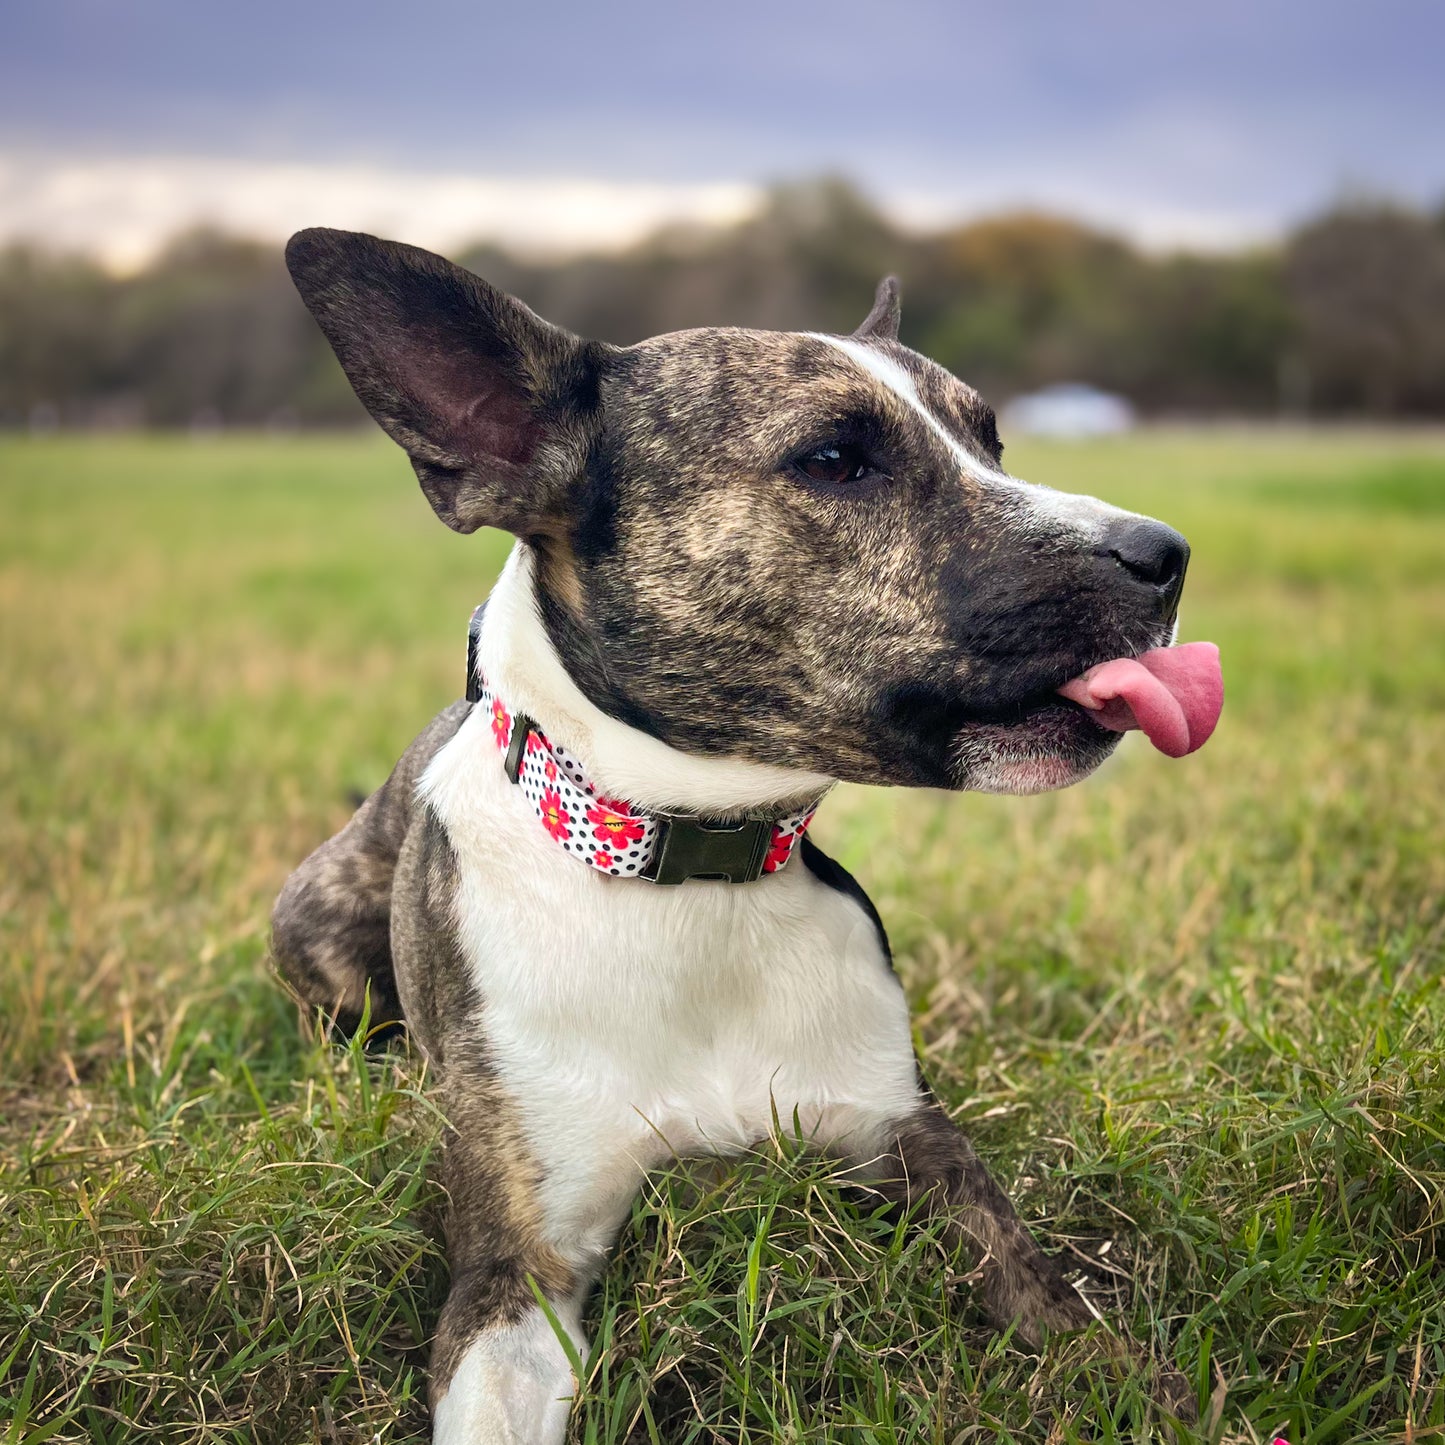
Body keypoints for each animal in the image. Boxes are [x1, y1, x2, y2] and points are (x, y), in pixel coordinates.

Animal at [271, 231, 1219, 1439]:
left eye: (989, 439)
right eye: (835, 459)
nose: (1165, 553)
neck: (691, 867)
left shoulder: (911, 1143)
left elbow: (1076, 1325)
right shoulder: (516, 1273)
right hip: (314, 932)